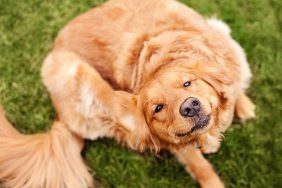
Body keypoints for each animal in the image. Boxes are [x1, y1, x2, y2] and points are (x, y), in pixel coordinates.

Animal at [0, 0, 256, 187]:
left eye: (187, 83)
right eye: (158, 108)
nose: (190, 106)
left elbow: (233, 87)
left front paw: (241, 104)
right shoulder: (174, 139)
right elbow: (199, 165)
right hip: (77, 75)